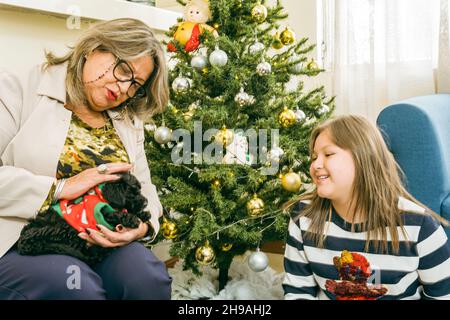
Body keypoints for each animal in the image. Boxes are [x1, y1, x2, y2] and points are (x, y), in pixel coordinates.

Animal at [17, 172, 151, 264]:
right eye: (131, 193)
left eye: (139, 190)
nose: (146, 202)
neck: (103, 197)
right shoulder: (99, 213)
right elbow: (114, 214)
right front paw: (132, 219)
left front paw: (144, 215)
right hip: (61, 228)